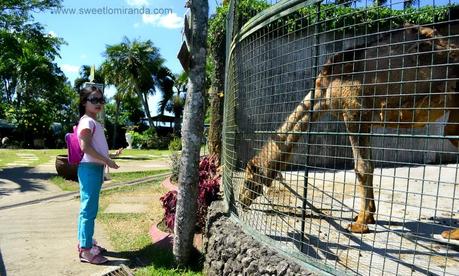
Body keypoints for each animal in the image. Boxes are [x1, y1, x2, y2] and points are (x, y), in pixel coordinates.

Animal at [239, 23, 459, 238]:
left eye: (249, 179)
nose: (241, 200)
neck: (324, 91)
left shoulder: (353, 112)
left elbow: (361, 167)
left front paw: (359, 223)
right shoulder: (366, 120)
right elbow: (370, 164)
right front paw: (368, 215)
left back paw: (452, 233)